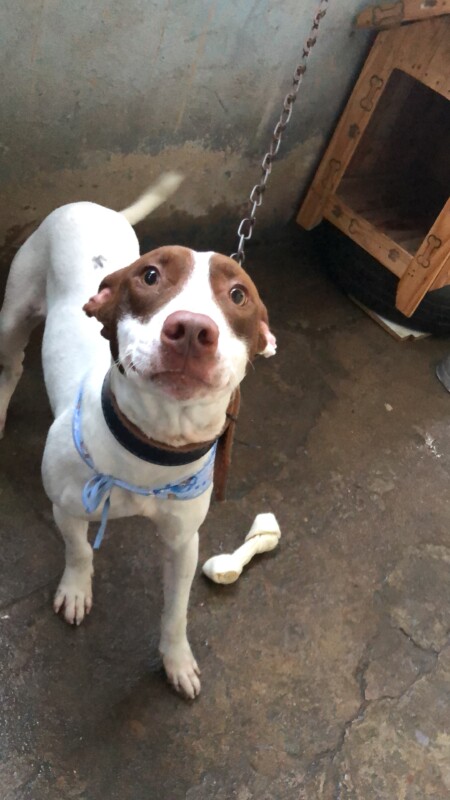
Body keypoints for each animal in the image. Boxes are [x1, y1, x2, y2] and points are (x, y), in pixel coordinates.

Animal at [0, 175, 274, 692]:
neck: (152, 446)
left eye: (238, 295)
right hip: (14, 315)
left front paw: (177, 660)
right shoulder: (67, 506)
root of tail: (97, 206)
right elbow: (79, 550)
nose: (192, 329)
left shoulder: (184, 542)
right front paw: (76, 590)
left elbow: (176, 609)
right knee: (11, 365)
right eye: (149, 277)